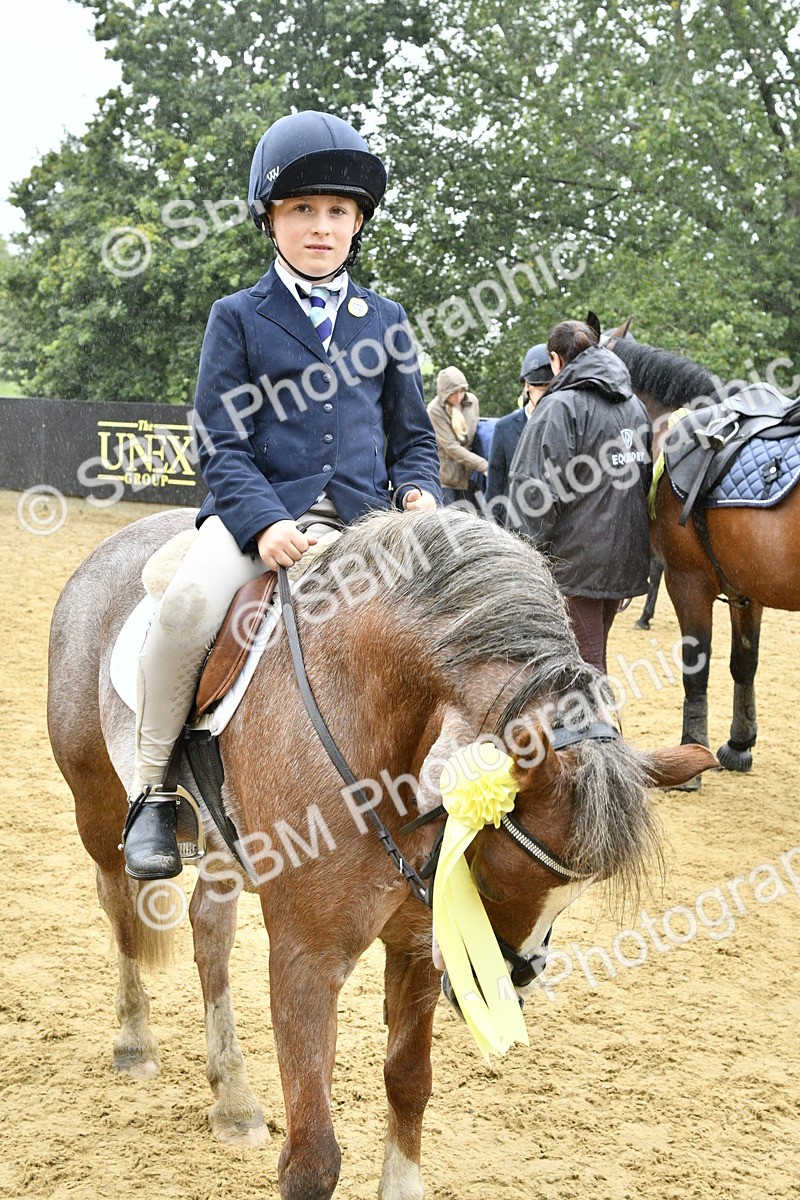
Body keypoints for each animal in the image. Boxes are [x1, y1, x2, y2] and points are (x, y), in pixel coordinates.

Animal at [47, 506, 713, 1200]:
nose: (503, 984)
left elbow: (410, 1084)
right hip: (96, 802)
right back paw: (134, 1039)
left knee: (210, 931)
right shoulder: (306, 957)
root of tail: (120, 540)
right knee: (119, 906)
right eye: (494, 876)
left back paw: (233, 1099)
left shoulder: (420, 944)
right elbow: (313, 1158)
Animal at [605, 319, 800, 782]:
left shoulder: (687, 579)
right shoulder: (747, 585)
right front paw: (739, 743)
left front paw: (691, 753)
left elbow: (697, 666)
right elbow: (744, 662)